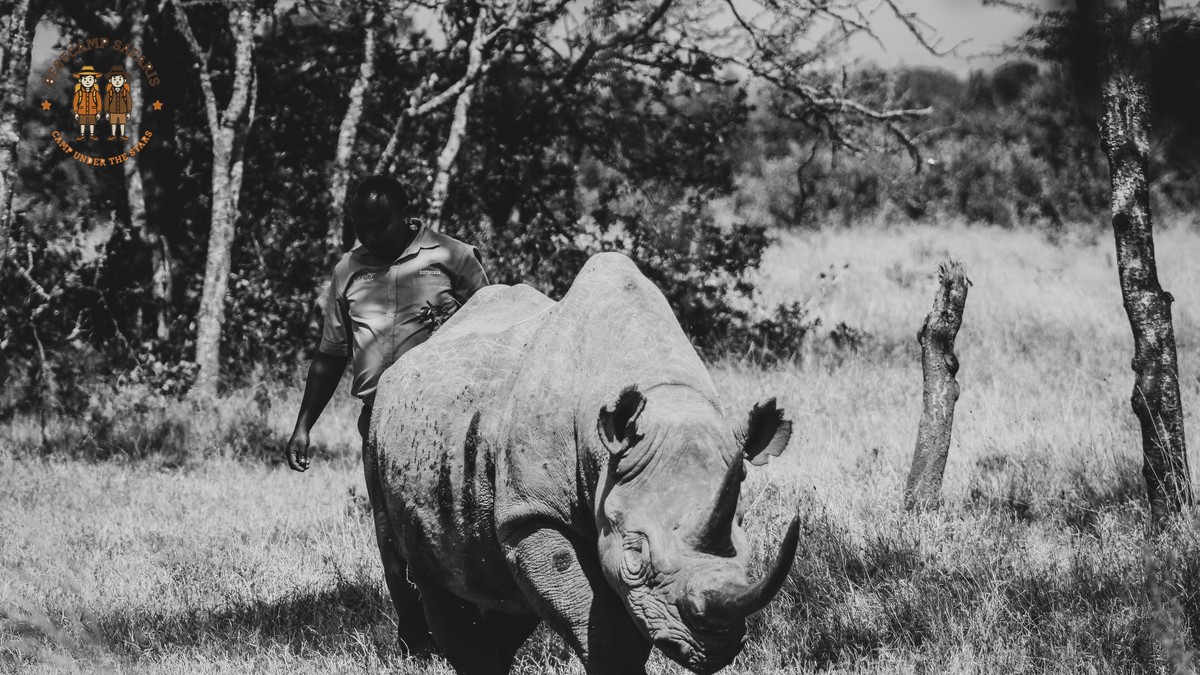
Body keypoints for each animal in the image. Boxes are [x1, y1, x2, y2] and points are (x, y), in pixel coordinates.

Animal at [368, 252, 800, 675]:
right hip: (377, 425)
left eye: (743, 542)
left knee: (502, 589)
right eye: (635, 556)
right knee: (423, 571)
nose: (714, 646)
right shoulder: (533, 512)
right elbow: (599, 621)